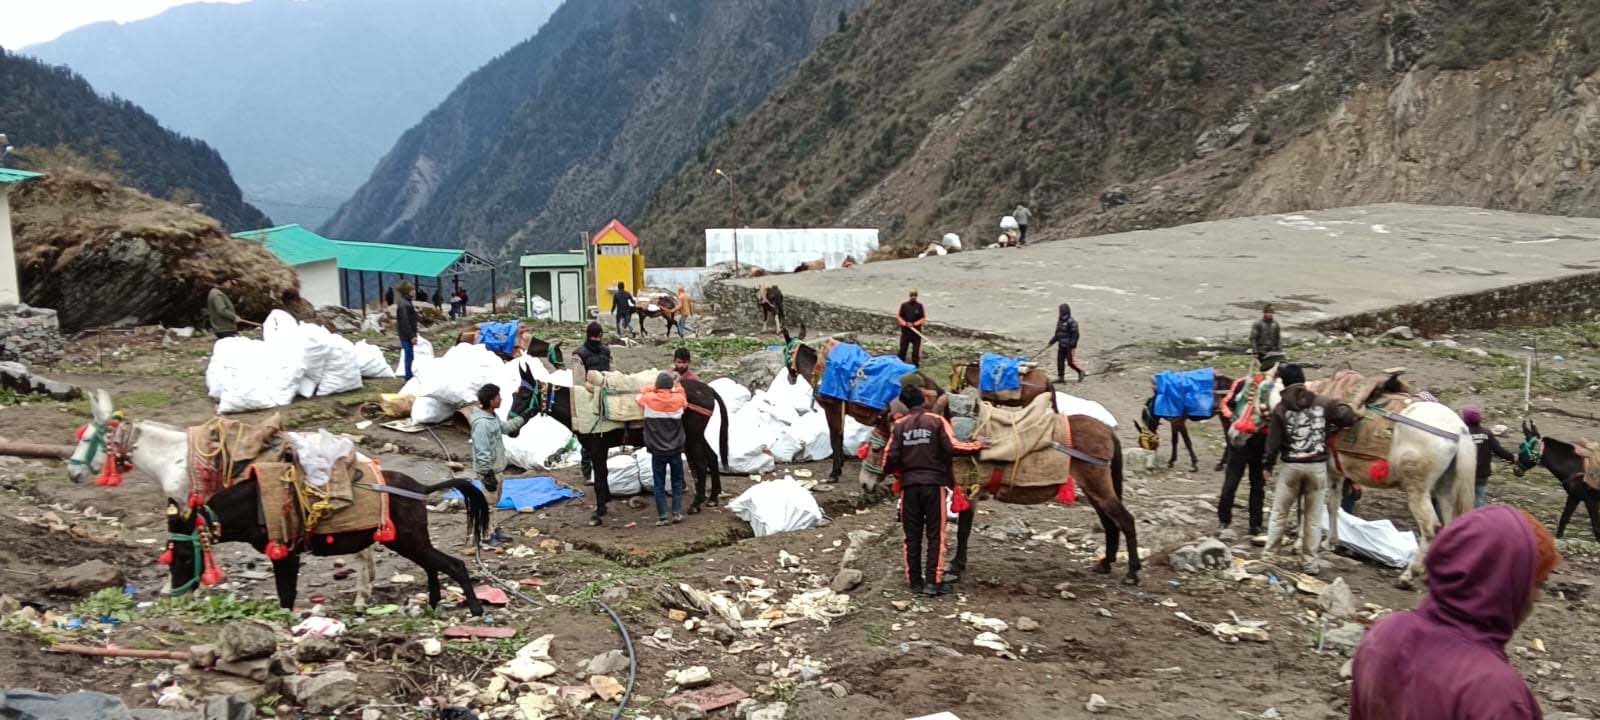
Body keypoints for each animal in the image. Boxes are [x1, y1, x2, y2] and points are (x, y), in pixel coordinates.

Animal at [68, 388, 377, 601]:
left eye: (87, 439)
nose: (72, 474)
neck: (172, 457)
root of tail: (360, 458)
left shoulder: (186, 503)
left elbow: (185, 541)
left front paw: (179, 584)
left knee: (362, 551)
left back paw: (362, 595)